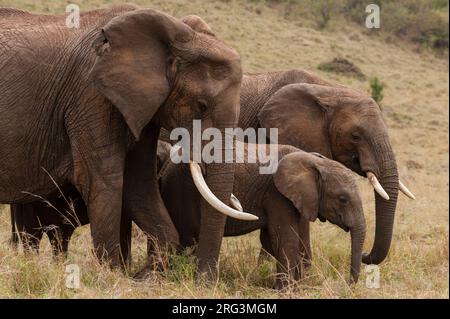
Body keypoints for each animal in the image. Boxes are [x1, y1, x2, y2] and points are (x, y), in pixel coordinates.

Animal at [0, 4, 253, 272]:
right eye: (201, 106)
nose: (202, 277)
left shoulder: (142, 105)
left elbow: (139, 183)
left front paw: (146, 274)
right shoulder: (91, 96)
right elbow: (103, 179)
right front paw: (111, 273)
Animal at [158, 142, 366, 288]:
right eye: (343, 199)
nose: (348, 285)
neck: (314, 161)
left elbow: (277, 239)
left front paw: (299, 284)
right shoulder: (276, 194)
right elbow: (284, 236)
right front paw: (287, 290)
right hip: (182, 190)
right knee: (188, 237)